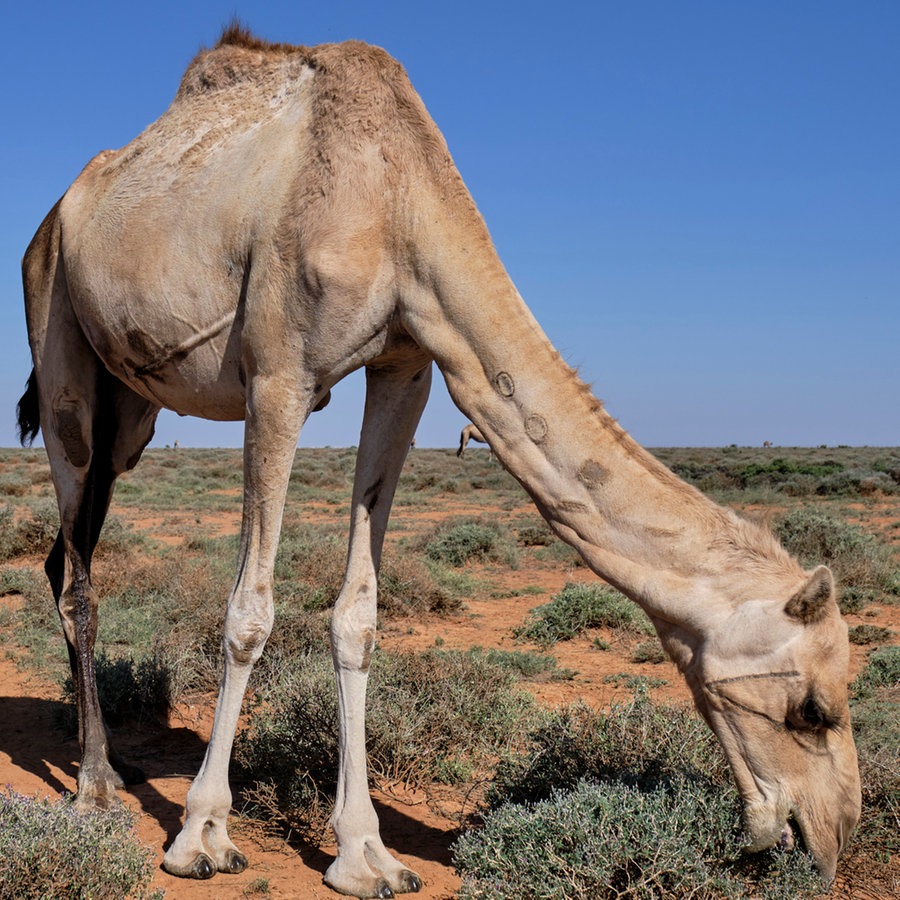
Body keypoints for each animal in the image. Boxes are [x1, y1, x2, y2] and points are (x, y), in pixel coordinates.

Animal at [14, 24, 856, 896]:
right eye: (812, 709)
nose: (831, 836)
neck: (398, 199)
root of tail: (54, 218)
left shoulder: (406, 366)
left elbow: (358, 614)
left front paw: (366, 852)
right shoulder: (278, 375)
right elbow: (250, 609)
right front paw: (203, 835)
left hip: (132, 414)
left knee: (65, 553)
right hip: (62, 347)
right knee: (78, 570)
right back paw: (95, 785)